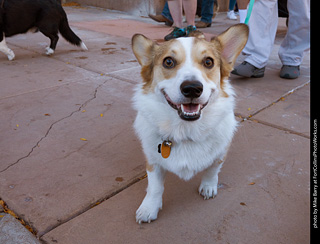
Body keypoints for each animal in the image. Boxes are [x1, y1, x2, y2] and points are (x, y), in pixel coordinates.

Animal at [131, 24, 249, 223]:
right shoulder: (153, 161)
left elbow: (212, 171)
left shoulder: (220, 154)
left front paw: (208, 187)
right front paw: (149, 208)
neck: (185, 130)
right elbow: (155, 187)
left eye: (208, 62)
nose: (192, 88)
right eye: (168, 62)